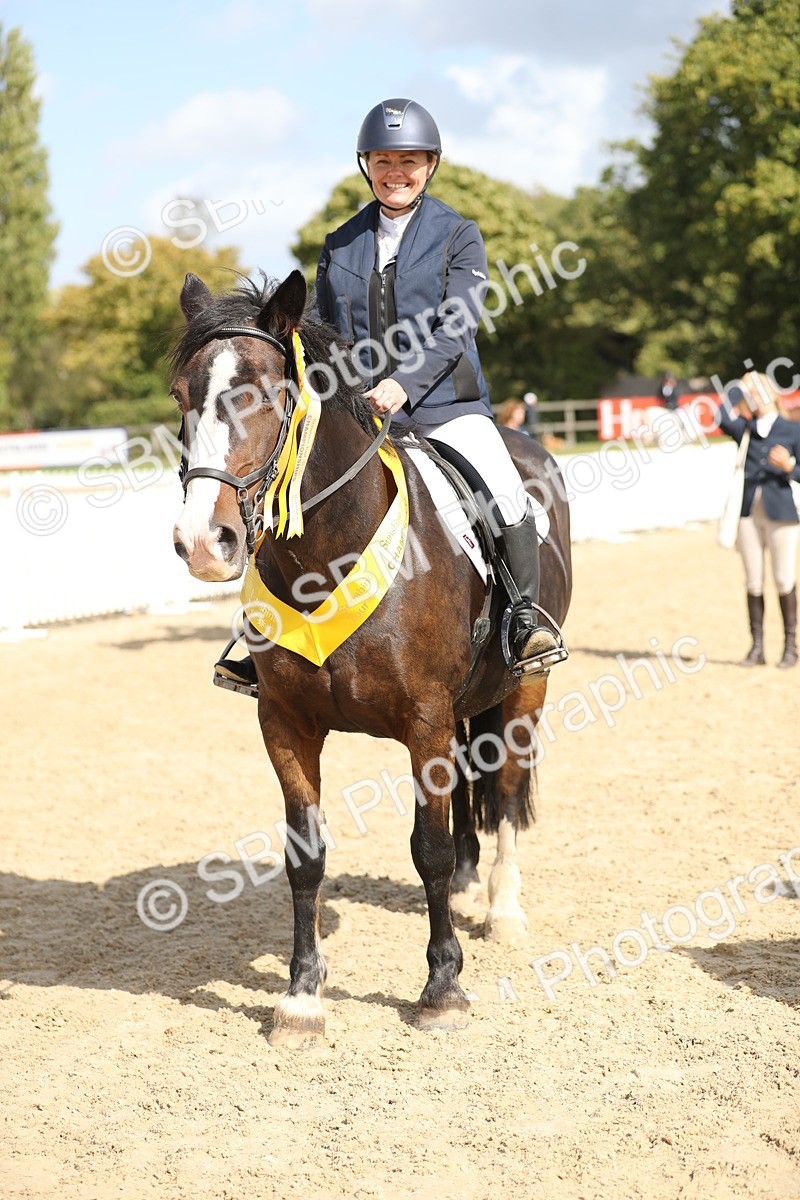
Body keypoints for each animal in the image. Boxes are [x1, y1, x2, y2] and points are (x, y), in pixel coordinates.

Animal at [170, 270, 572, 1047]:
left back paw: (503, 910)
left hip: (523, 690)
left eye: (263, 390)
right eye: (181, 396)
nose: (204, 542)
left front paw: (442, 987)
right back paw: (474, 887)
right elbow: (305, 855)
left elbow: (428, 849)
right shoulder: (285, 723)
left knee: (507, 790)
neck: (329, 552)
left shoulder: (425, 720)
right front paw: (301, 998)